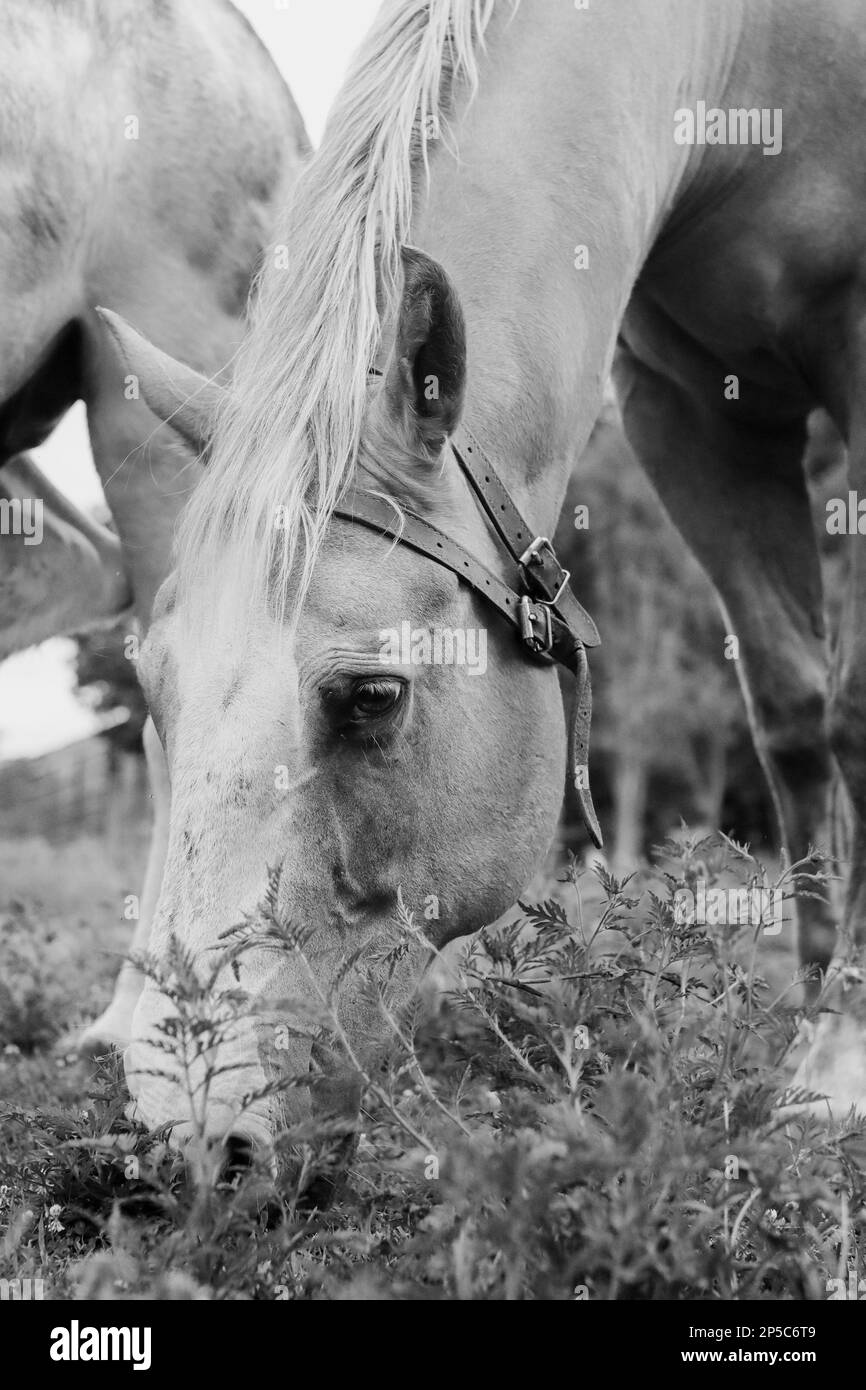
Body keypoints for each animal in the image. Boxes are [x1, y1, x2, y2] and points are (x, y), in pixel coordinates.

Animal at [108, 0, 866, 1156]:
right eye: (153, 688)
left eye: (372, 696)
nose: (188, 1134)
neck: (753, 55)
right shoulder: (692, 408)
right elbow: (791, 718)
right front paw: (811, 1031)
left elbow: (854, 715)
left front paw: (839, 1059)